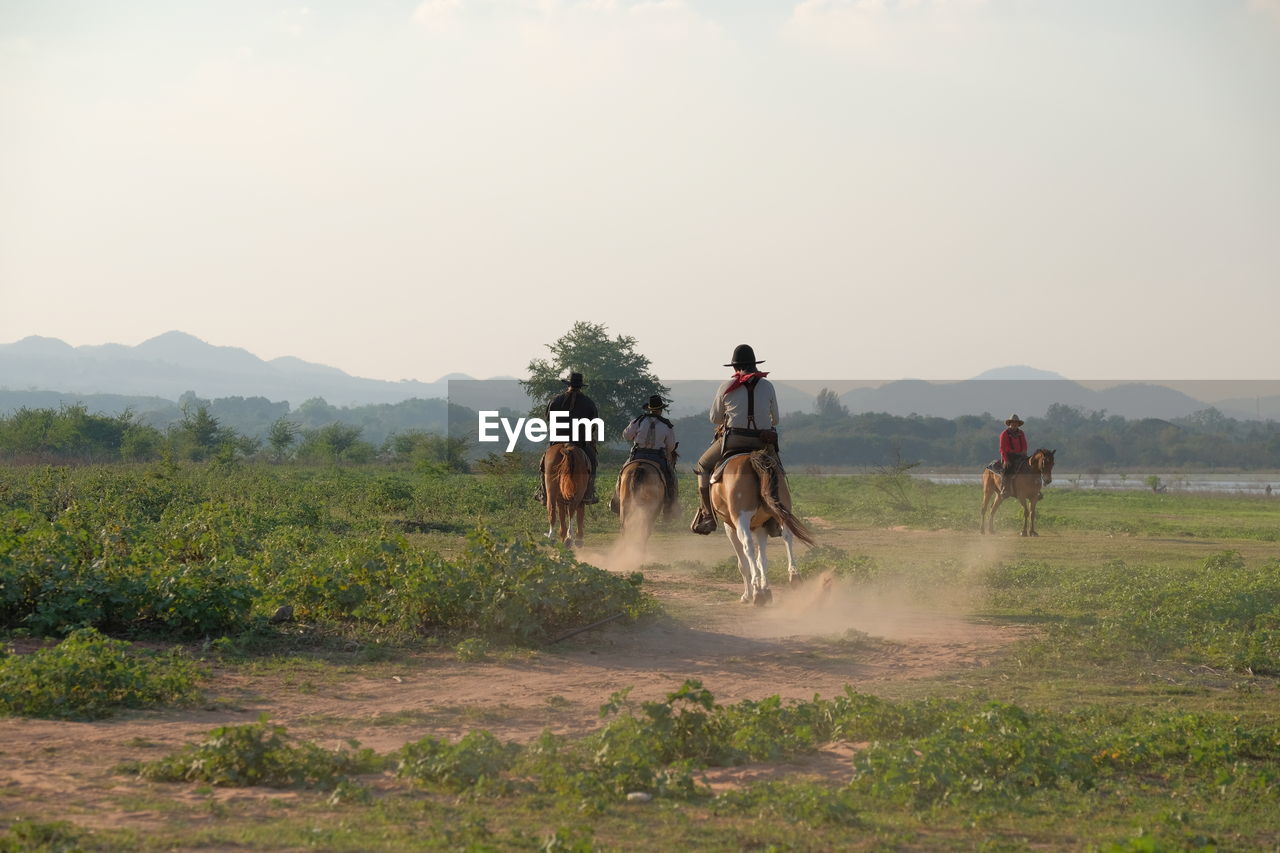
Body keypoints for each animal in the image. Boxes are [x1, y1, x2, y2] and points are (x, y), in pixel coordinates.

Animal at [706, 448, 814, 601]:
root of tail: (752, 457)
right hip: (782, 508)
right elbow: (762, 559)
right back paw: (794, 576)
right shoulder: (761, 526)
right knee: (787, 535)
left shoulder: (730, 527)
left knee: (748, 545)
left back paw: (756, 591)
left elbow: (743, 563)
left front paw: (749, 594)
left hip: (741, 518)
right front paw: (765, 589)